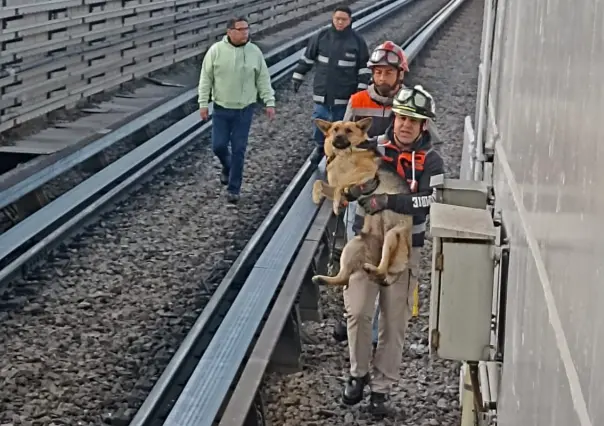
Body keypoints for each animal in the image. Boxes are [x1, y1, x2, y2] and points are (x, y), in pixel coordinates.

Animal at [312, 118, 416, 288]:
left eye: (348, 131)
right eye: (335, 129)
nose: (338, 138)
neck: (342, 153)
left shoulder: (366, 174)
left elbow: (340, 186)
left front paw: (335, 204)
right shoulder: (340, 186)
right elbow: (319, 182)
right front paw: (316, 196)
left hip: (392, 235)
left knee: (381, 270)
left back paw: (373, 269)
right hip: (353, 246)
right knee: (344, 278)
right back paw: (322, 279)